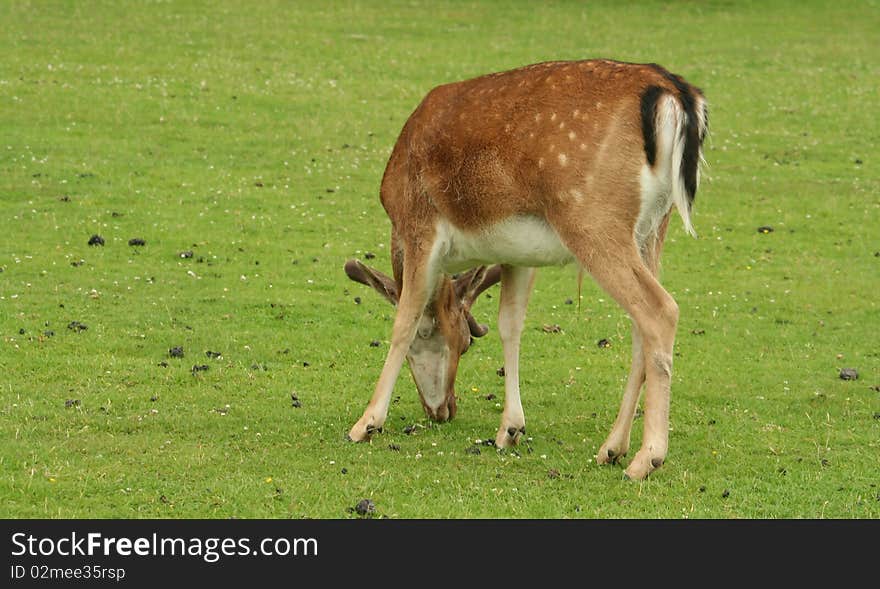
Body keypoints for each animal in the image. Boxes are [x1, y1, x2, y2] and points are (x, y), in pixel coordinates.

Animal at [344, 58, 708, 478]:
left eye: (463, 343)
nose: (442, 410)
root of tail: (675, 94)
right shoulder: (518, 255)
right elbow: (510, 324)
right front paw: (510, 429)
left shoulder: (420, 228)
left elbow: (404, 318)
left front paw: (366, 423)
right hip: (653, 228)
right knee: (640, 326)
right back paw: (612, 448)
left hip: (593, 219)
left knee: (660, 310)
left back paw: (646, 458)